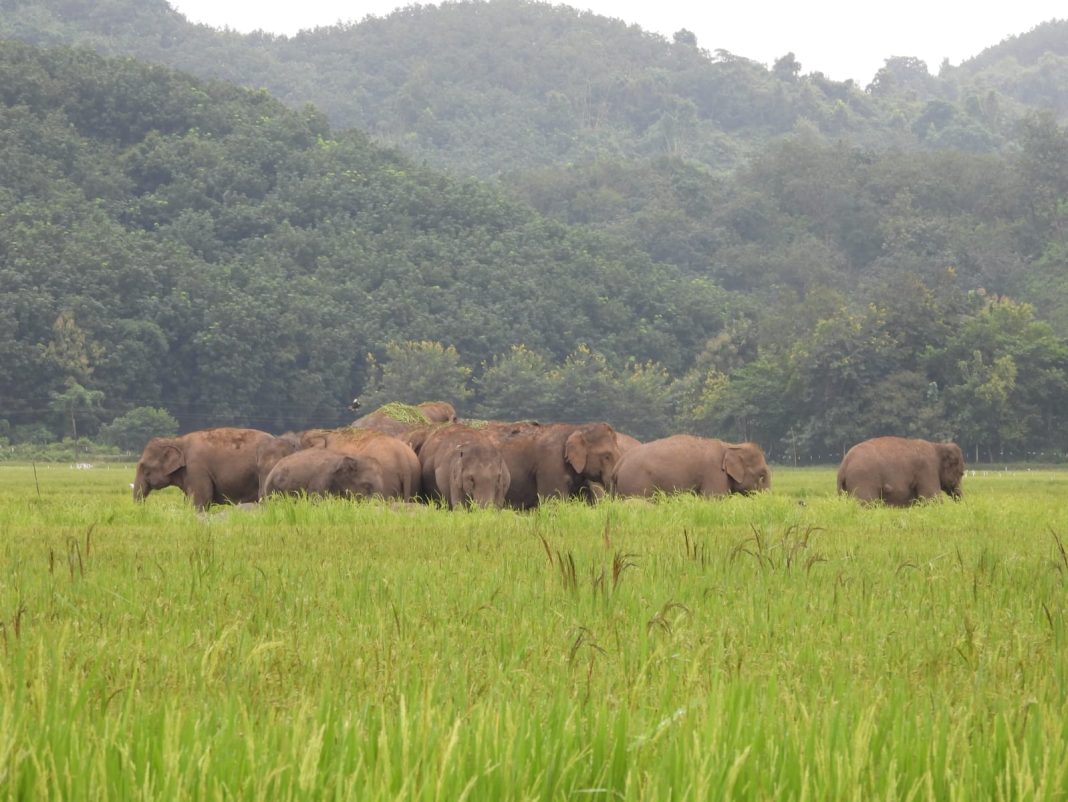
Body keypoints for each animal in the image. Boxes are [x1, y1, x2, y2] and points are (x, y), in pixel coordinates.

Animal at [611, 435, 770, 498]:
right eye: (762, 476)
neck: (730, 446)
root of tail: (618, 465)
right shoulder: (715, 474)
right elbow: (714, 498)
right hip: (636, 483)